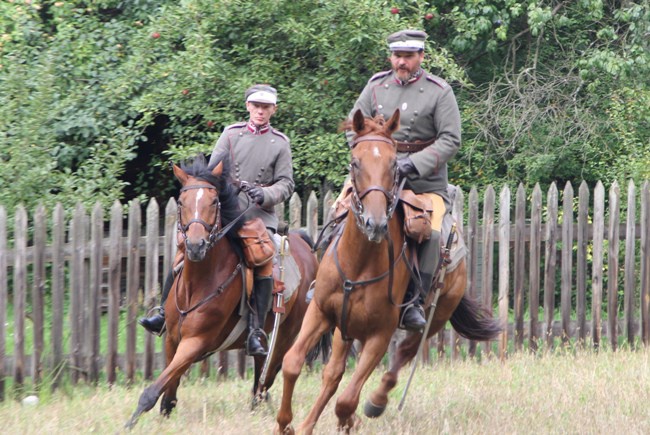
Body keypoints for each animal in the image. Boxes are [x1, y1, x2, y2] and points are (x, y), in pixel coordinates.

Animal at [124, 153, 318, 430]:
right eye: (181, 201)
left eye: (214, 201)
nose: (195, 246)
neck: (197, 284)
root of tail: (303, 243)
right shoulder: (172, 339)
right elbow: (169, 390)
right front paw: (164, 413)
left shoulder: (195, 343)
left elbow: (154, 390)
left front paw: (132, 421)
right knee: (261, 368)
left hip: (287, 333)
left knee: (270, 373)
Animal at [274, 110, 502, 435]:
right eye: (355, 161)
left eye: (394, 163)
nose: (376, 223)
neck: (359, 263)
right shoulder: (321, 312)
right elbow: (293, 363)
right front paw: (287, 424)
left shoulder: (379, 335)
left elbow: (348, 399)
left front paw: (349, 419)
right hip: (345, 328)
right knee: (334, 374)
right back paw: (310, 423)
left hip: (435, 317)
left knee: (401, 358)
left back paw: (375, 402)